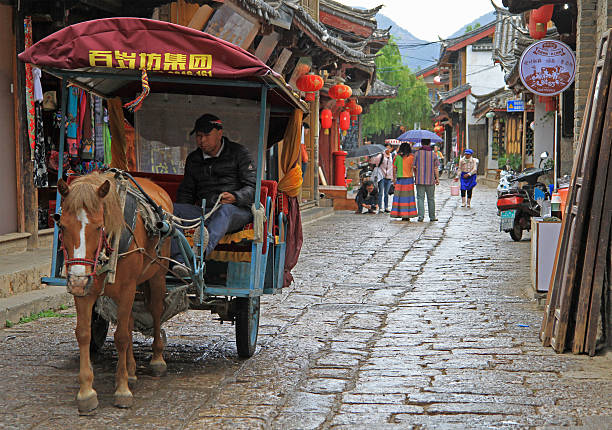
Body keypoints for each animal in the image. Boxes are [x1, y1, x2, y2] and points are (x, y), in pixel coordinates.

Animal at [56, 171, 172, 414]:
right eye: (61, 226)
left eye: (99, 226)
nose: (77, 281)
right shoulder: (86, 291)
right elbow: (84, 333)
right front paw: (86, 392)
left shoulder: (127, 288)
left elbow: (121, 337)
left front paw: (122, 389)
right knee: (128, 322)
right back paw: (131, 370)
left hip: (157, 274)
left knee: (156, 310)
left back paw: (157, 359)